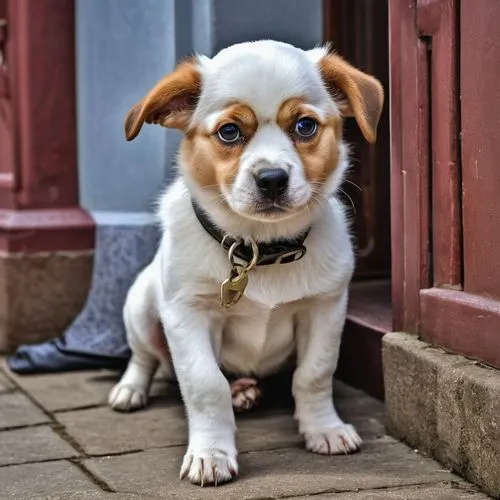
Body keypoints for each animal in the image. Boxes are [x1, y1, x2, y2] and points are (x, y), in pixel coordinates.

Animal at [109, 41, 382, 486]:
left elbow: (314, 374)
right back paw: (131, 390)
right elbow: (206, 385)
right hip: (143, 304)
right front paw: (211, 454)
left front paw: (323, 429)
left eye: (305, 126)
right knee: (145, 357)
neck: (261, 249)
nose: (271, 179)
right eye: (229, 132)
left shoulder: (325, 308)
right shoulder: (186, 314)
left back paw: (246, 390)